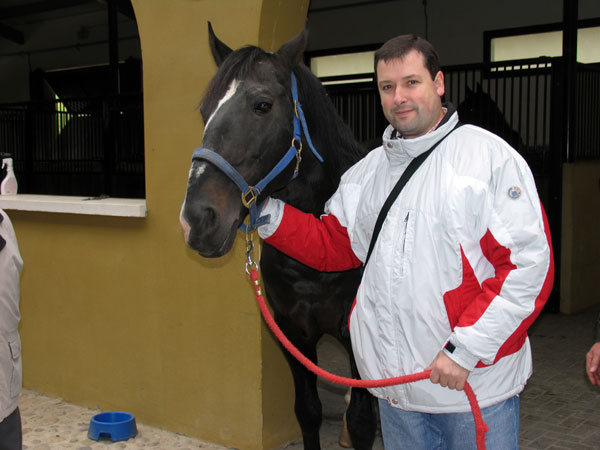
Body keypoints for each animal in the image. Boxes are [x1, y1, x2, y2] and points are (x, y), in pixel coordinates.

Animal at [178, 24, 378, 450]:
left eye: (262, 105)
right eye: (205, 111)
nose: (197, 220)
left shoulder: (357, 341)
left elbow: (362, 421)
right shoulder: (293, 335)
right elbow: (308, 412)